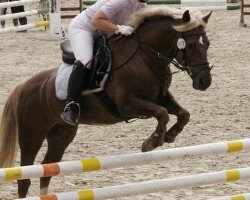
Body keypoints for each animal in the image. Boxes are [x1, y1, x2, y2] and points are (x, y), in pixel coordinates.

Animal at [0, 6, 212, 198]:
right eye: (191, 45)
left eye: (208, 44)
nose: (204, 82)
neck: (145, 56)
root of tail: (23, 86)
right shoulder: (127, 104)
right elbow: (162, 113)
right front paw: (151, 142)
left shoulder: (161, 97)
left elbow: (183, 114)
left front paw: (169, 136)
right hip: (32, 135)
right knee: (25, 175)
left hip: (61, 134)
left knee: (47, 168)